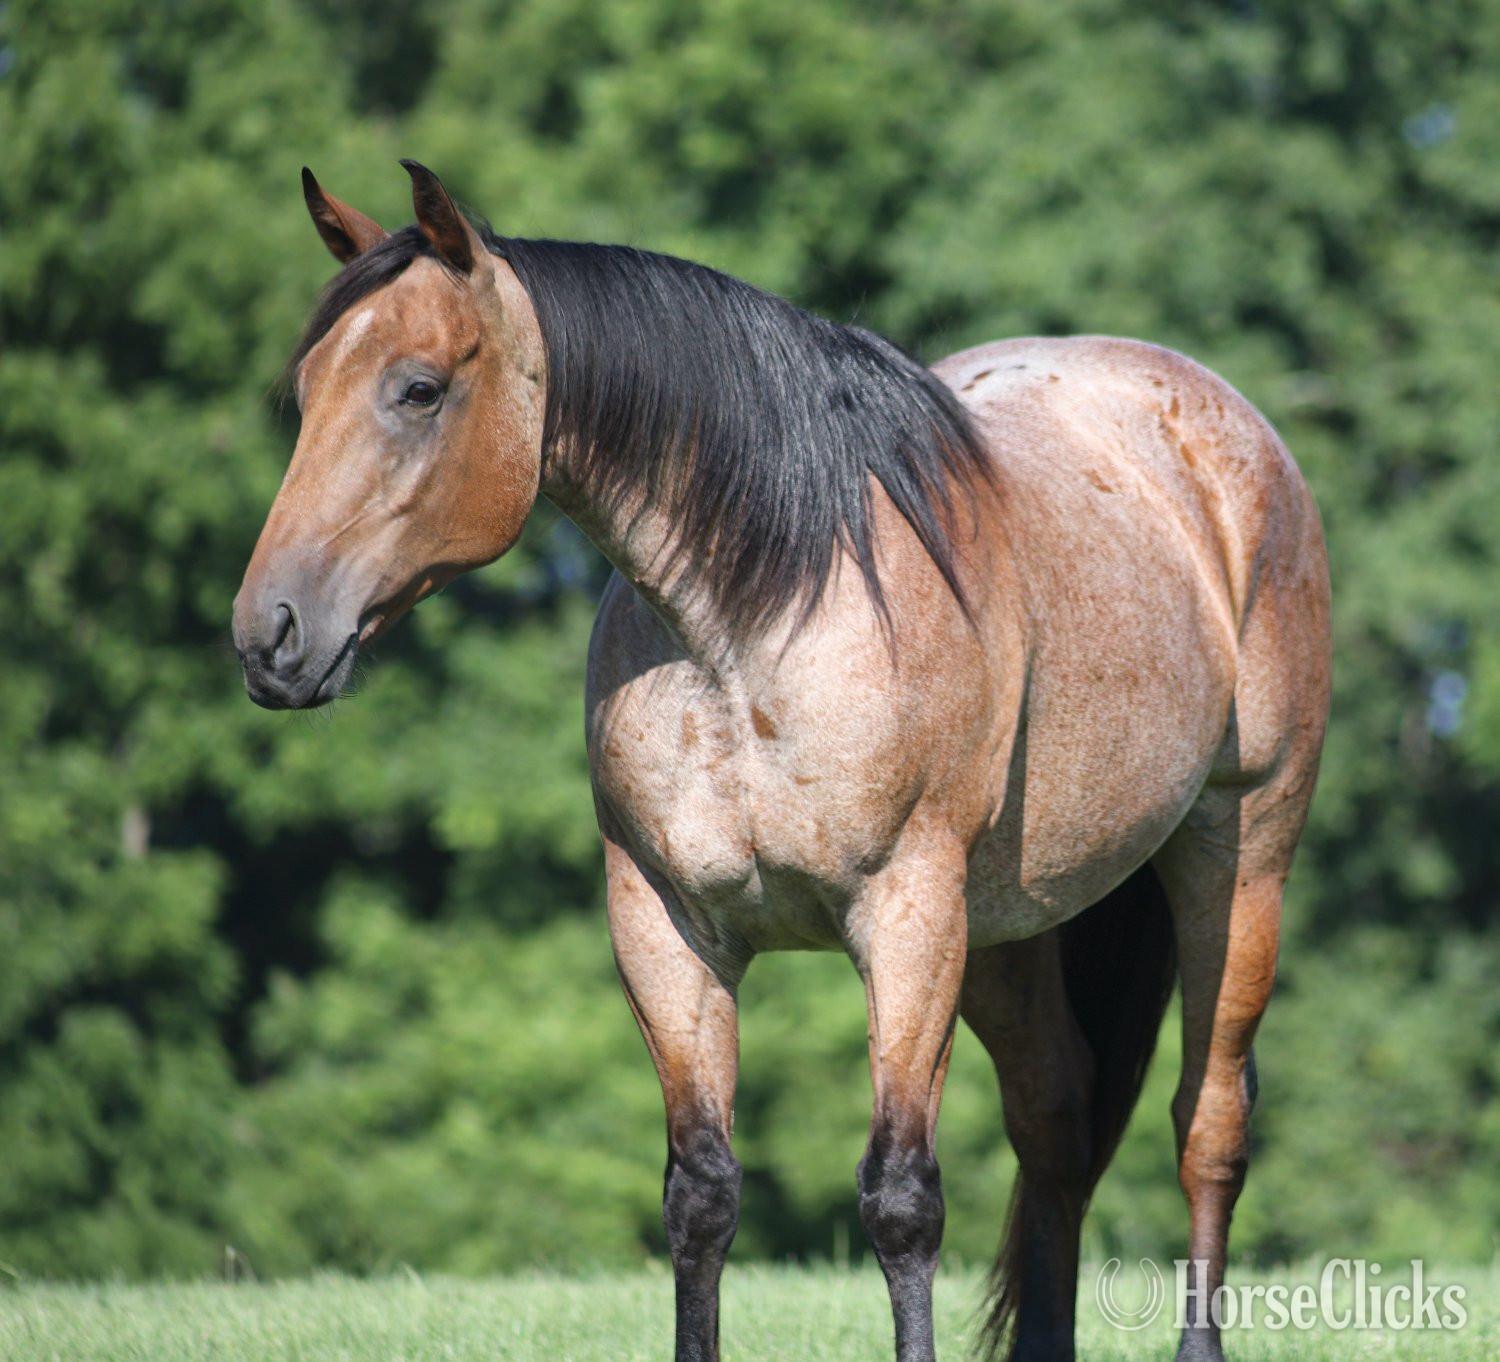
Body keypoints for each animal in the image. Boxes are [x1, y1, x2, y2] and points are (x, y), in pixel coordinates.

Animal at [233, 161, 1331, 1362]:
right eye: (307, 390)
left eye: (419, 389)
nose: (269, 635)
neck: (757, 624)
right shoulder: (668, 926)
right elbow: (701, 1195)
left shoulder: (906, 919)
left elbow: (901, 1200)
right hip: (1010, 924)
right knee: (1056, 1117)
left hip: (1235, 857)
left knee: (1208, 1121)